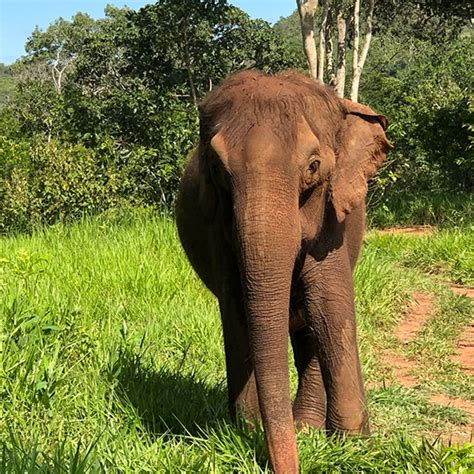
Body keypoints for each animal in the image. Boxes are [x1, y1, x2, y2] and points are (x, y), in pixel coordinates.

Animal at [176, 68, 390, 472]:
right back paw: (303, 428)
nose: (289, 466)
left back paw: (306, 428)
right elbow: (238, 306)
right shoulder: (218, 230)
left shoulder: (331, 220)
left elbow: (328, 304)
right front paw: (246, 429)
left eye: (313, 167)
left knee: (310, 325)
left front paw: (355, 449)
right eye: (218, 169)